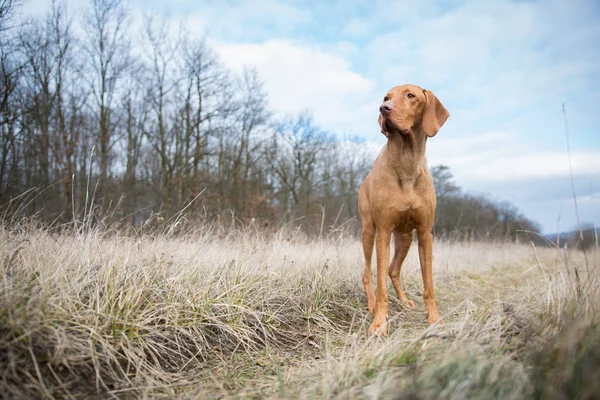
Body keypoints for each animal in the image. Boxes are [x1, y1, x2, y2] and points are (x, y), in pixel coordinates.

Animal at [356, 83, 450, 334]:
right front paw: (379, 322)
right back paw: (371, 304)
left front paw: (435, 318)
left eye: (411, 95)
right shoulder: (383, 232)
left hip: (406, 238)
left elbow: (429, 283)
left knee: (393, 270)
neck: (407, 162)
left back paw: (405, 300)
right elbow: (380, 285)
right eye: (386, 98)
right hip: (369, 231)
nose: (383, 109)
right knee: (368, 273)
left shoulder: (425, 233)